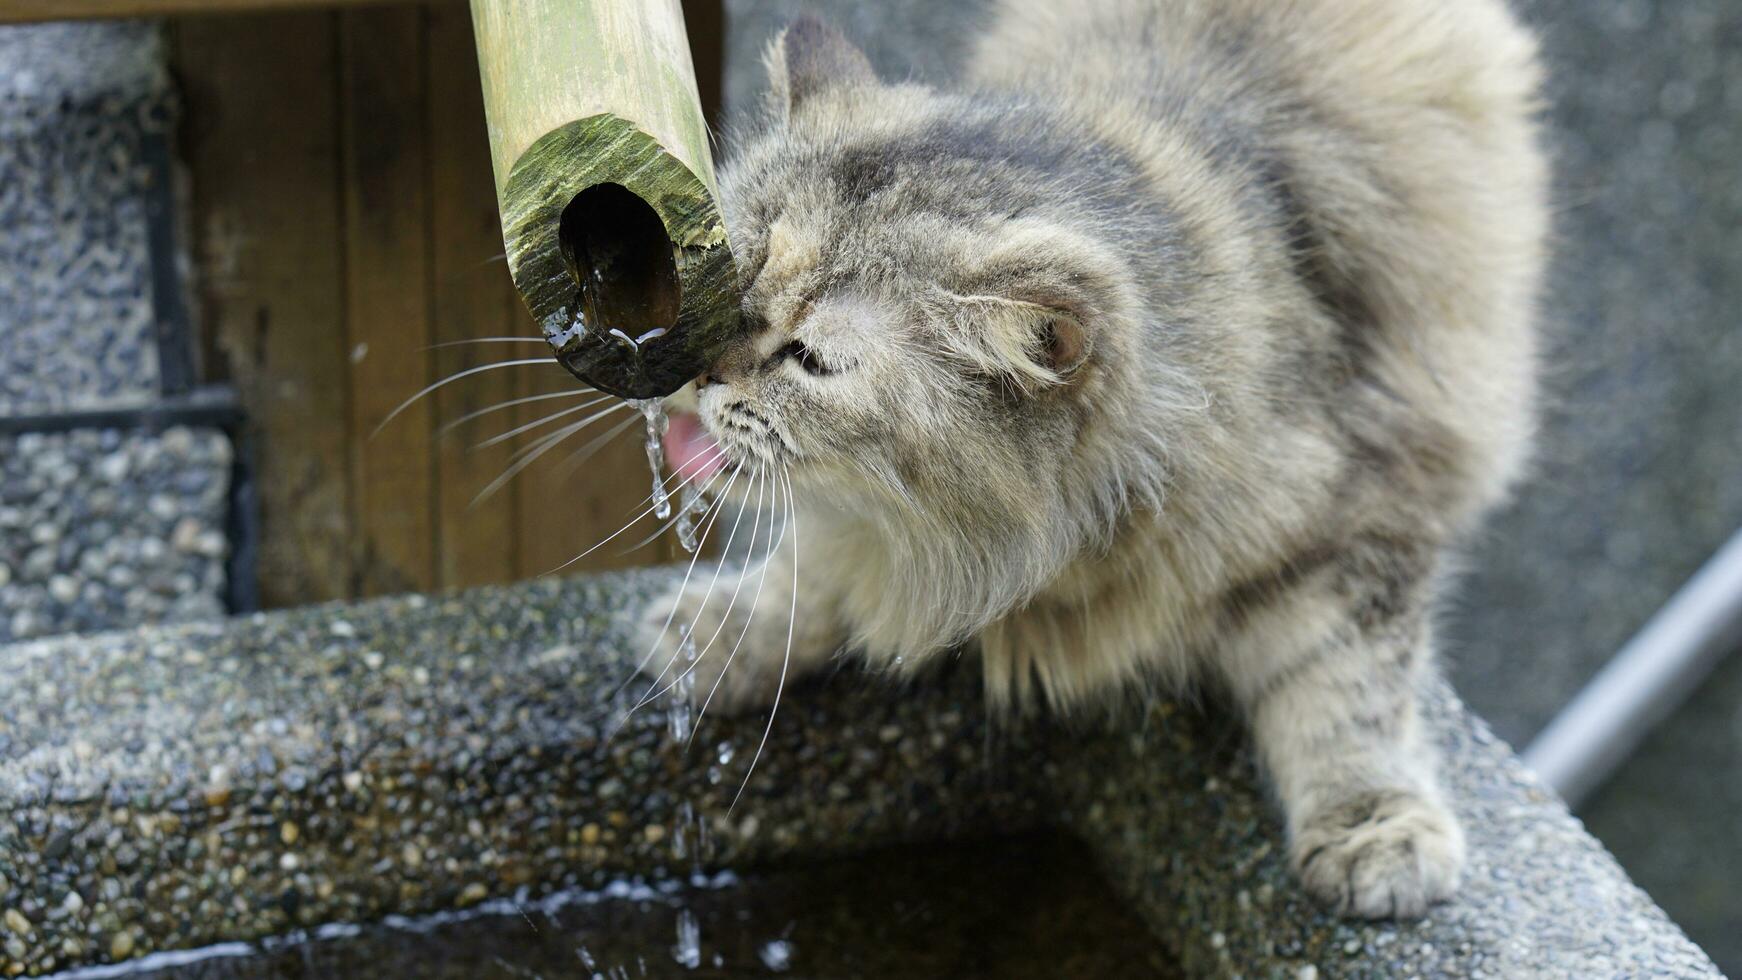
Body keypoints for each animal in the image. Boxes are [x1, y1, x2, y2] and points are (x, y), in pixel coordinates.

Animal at [648, 0, 1546, 919]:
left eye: (809, 360)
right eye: (723, 283)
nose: (694, 374)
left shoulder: (1359, 513)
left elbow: (1347, 690)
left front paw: (1375, 825)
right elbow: (813, 577)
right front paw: (721, 633)